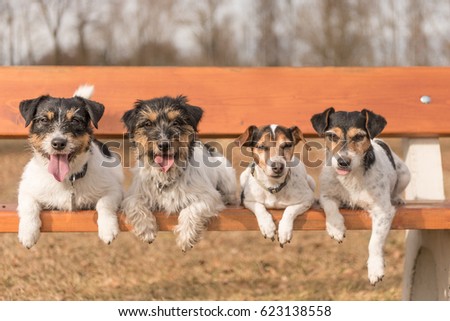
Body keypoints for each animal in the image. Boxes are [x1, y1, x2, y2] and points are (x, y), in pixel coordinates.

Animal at [17, 84, 123, 246]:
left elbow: (105, 203)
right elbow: (29, 206)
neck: (66, 179)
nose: (58, 143)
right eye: (43, 119)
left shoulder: (114, 190)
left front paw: (108, 229)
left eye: (75, 120)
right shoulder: (26, 190)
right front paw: (28, 233)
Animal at [121, 95, 237, 250]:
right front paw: (146, 229)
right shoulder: (134, 195)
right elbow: (134, 204)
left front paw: (186, 237)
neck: (167, 175)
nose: (164, 144)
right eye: (147, 124)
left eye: (176, 122)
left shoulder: (208, 196)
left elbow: (191, 210)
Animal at [310, 108, 412, 284]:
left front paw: (375, 268)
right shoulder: (326, 196)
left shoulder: (382, 211)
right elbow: (330, 209)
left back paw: (398, 198)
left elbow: (375, 241)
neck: (351, 177)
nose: (343, 162)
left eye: (358, 137)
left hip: (405, 174)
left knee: (397, 190)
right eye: (332, 136)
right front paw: (336, 228)